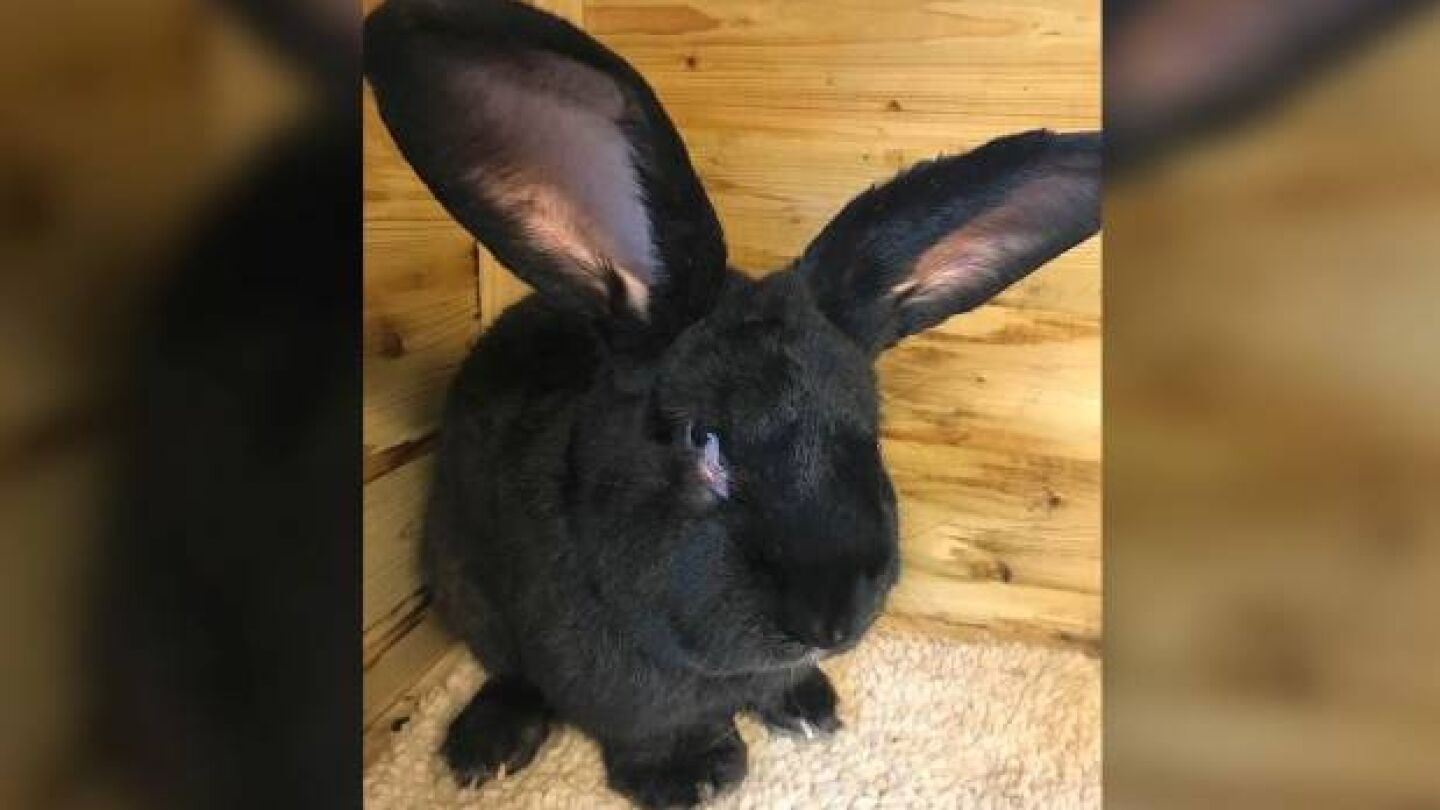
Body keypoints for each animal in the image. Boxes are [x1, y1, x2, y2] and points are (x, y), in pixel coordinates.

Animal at [364, 0, 1100, 806]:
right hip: (461, 578)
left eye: (869, 432)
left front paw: (807, 709)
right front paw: (693, 778)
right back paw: (485, 748)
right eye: (701, 440)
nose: (832, 619)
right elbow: (642, 729)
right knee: (506, 669)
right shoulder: (610, 692)